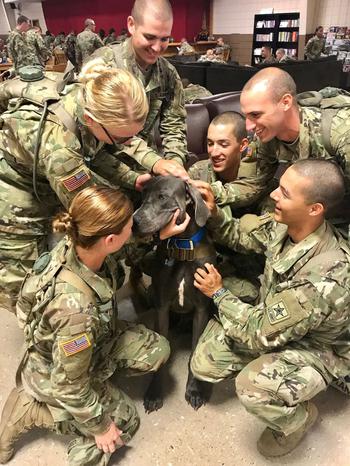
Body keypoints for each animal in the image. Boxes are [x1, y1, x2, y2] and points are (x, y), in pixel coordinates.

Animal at [134, 175, 216, 412]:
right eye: (143, 195)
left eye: (162, 197)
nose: (134, 221)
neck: (182, 247)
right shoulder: (162, 308)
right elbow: (164, 349)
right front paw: (154, 392)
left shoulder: (201, 309)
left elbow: (194, 351)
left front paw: (195, 390)